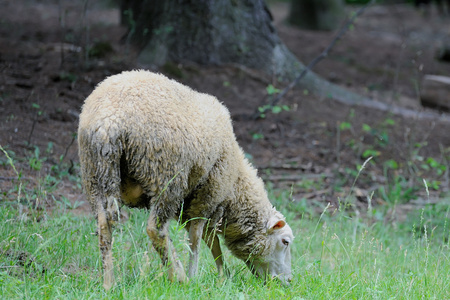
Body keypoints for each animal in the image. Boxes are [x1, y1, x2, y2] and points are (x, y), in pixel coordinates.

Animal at [78, 69, 296, 290]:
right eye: (285, 241)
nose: (288, 281)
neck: (235, 187)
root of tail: (109, 119)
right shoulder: (207, 195)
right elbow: (197, 239)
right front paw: (195, 275)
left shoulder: (195, 207)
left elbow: (209, 240)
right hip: (165, 177)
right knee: (155, 229)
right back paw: (180, 277)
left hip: (96, 175)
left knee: (106, 226)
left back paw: (109, 283)